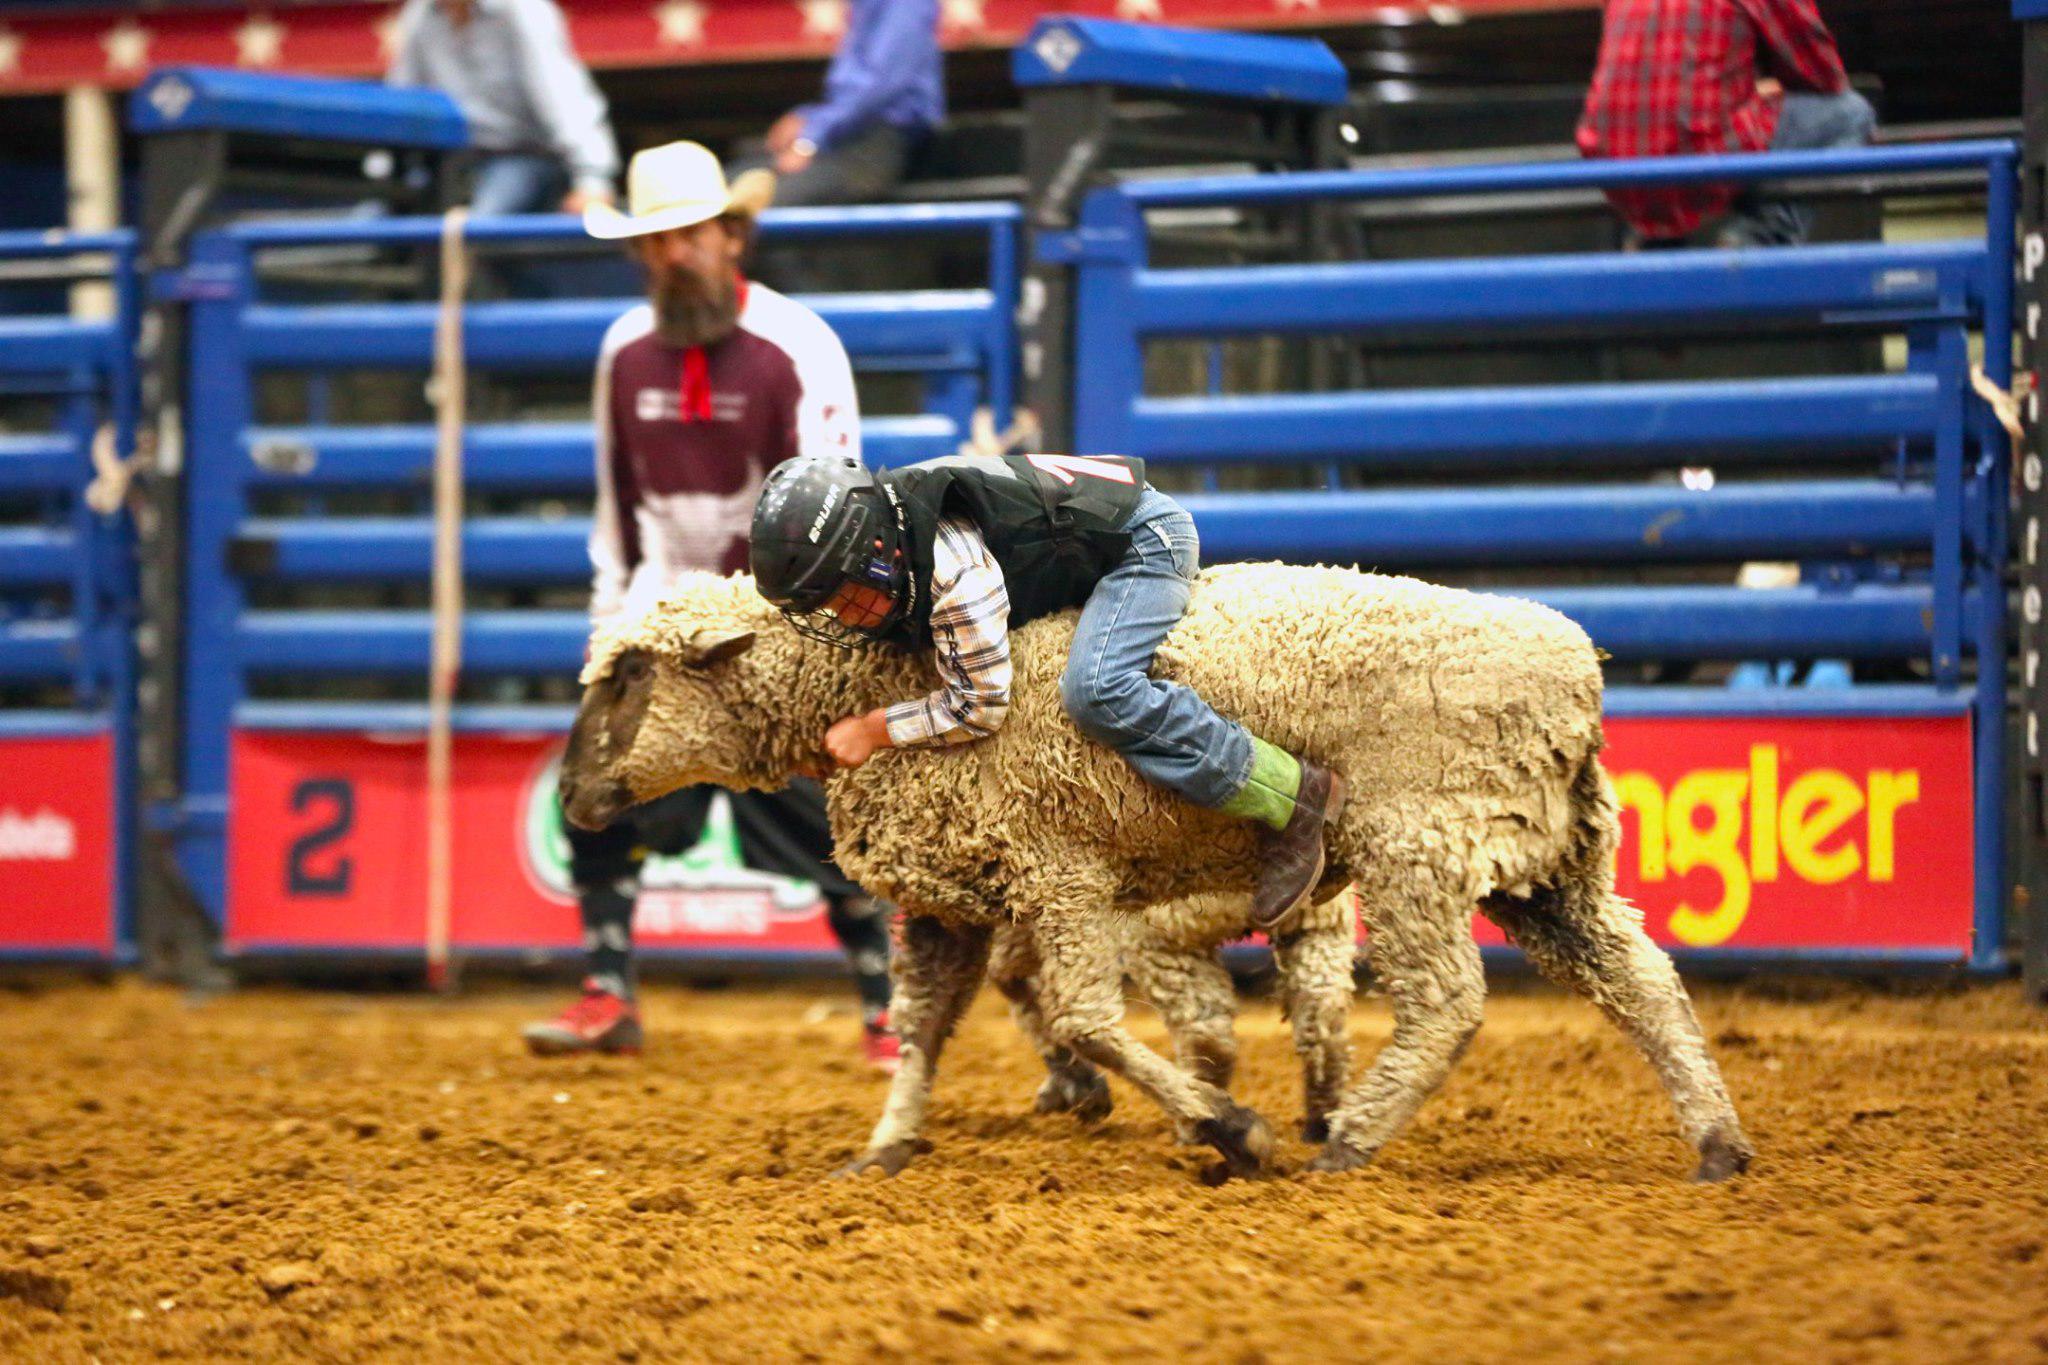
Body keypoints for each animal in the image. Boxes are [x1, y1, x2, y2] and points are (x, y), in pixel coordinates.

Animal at [565, 564, 1761, 1186]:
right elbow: (924, 1029)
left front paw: (1229, 1130)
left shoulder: (1058, 871)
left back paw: (1349, 1138)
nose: (572, 799)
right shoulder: (951, 898)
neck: (883, 683)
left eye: (627, 677)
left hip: (1419, 840)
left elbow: (1088, 1021)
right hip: (1549, 861)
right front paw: (886, 1144)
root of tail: (1577, 676)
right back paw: (1714, 1140)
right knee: (1640, 981)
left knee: (1445, 1001)